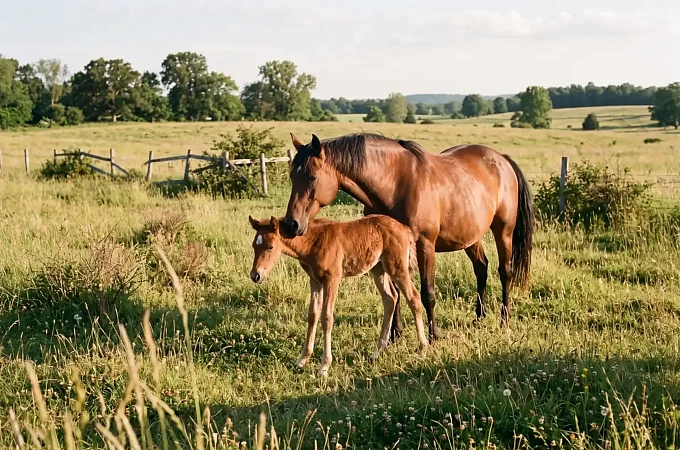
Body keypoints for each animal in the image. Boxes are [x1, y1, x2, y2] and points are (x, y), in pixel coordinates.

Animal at [248, 214, 428, 376]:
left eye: (270, 247)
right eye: (254, 246)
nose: (255, 275)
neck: (313, 242)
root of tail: (404, 228)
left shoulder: (332, 279)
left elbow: (327, 318)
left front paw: (324, 366)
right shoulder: (315, 281)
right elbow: (313, 315)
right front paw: (302, 360)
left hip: (397, 267)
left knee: (413, 297)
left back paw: (422, 348)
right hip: (378, 269)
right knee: (390, 299)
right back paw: (377, 352)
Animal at [282, 132, 534, 343]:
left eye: (312, 177)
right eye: (292, 176)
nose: (291, 224)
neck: (397, 184)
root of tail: (501, 159)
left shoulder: (424, 245)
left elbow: (427, 293)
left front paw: (432, 337)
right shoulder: (389, 249)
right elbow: (395, 293)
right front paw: (395, 335)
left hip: (503, 231)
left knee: (505, 272)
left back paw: (504, 320)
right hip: (471, 237)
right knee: (481, 268)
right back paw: (479, 318)